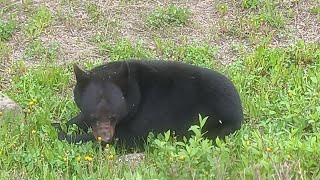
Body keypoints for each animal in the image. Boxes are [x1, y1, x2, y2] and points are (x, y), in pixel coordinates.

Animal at [53, 59, 242, 148]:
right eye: (94, 116)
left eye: (113, 116)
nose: (105, 137)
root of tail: (239, 108)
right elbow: (78, 119)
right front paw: (59, 125)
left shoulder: (145, 114)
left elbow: (129, 137)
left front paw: (68, 136)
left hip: (215, 125)